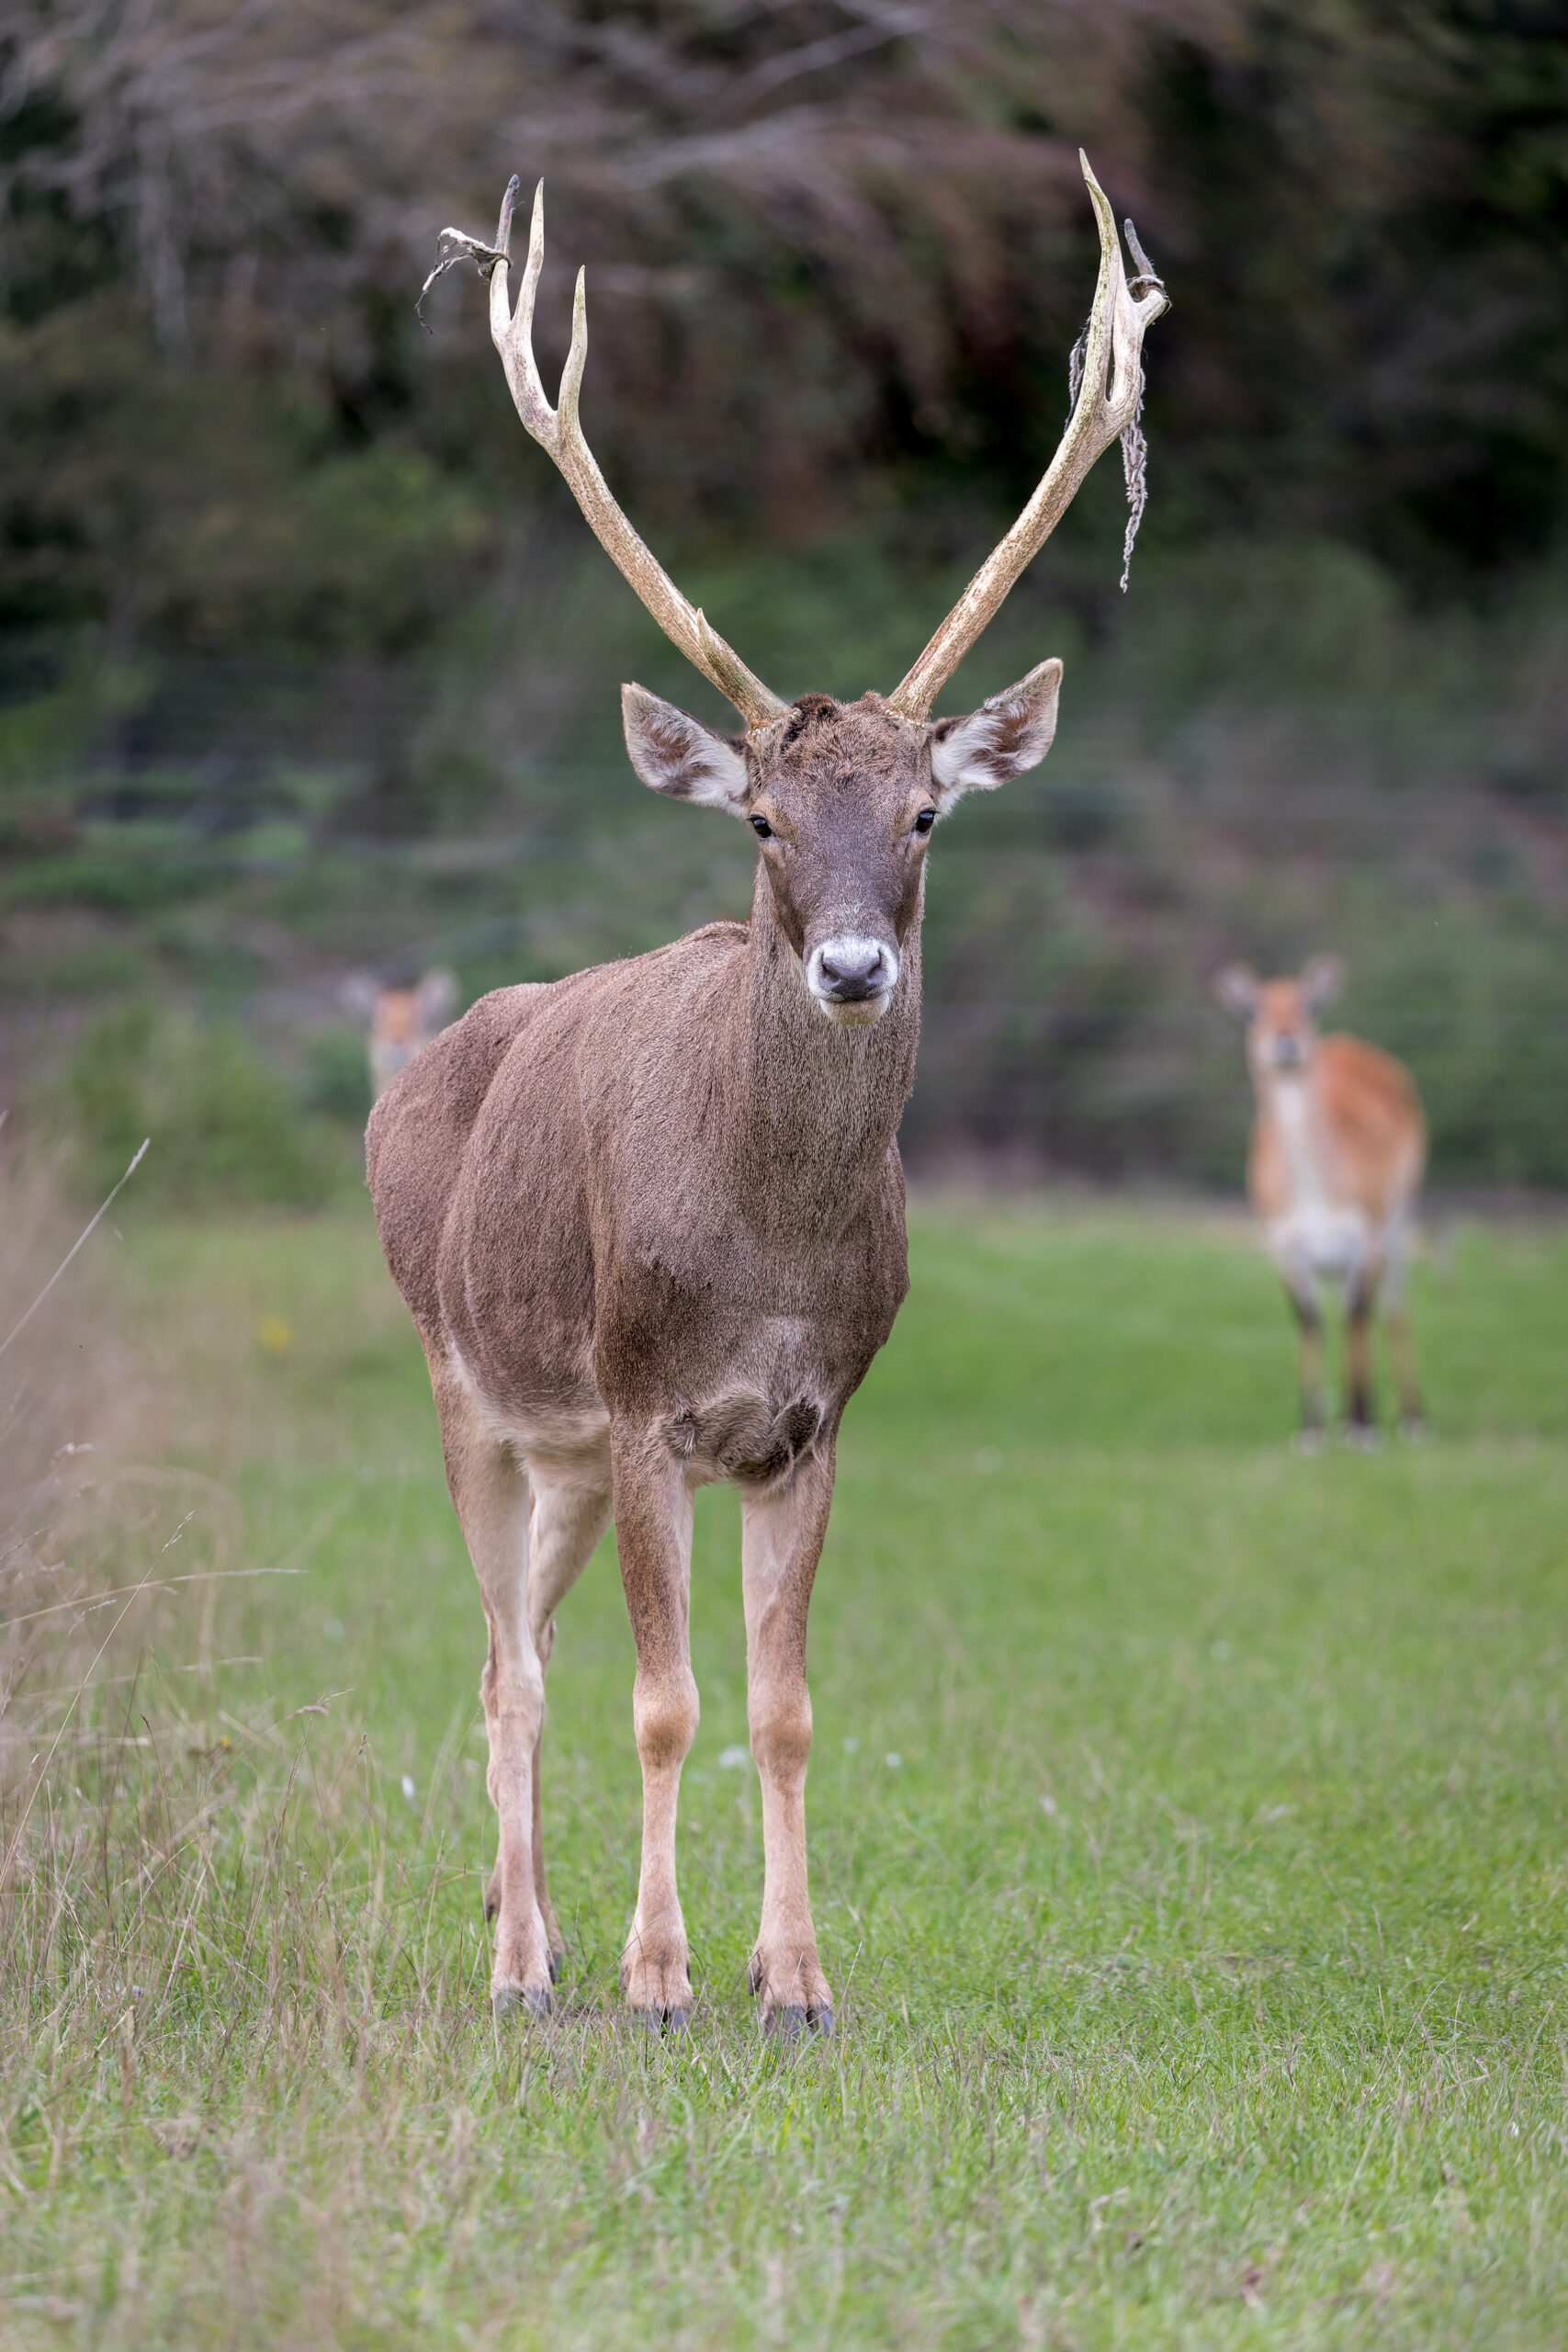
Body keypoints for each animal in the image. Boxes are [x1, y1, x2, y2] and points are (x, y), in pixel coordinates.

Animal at [373, 156, 1170, 2031]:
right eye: (758, 818)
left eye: (927, 814)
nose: (856, 966)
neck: (766, 1254)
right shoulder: (648, 1399)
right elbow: (663, 1704)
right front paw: (662, 1979)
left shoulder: (810, 1420)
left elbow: (783, 1711)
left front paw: (793, 1977)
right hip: (468, 1380)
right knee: (506, 1667)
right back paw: (522, 1966)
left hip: (565, 1450)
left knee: (527, 1652)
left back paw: (541, 1930)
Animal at [1222, 959, 1429, 1439]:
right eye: (1253, 1008)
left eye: (1308, 1003)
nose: (1286, 1039)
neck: (1316, 1195)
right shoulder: (1283, 1248)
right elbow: (1309, 1319)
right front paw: (1312, 1430)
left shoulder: (1368, 1242)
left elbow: (1357, 1314)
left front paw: (1362, 1427)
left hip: (1400, 1219)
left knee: (1392, 1308)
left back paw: (1412, 1420)